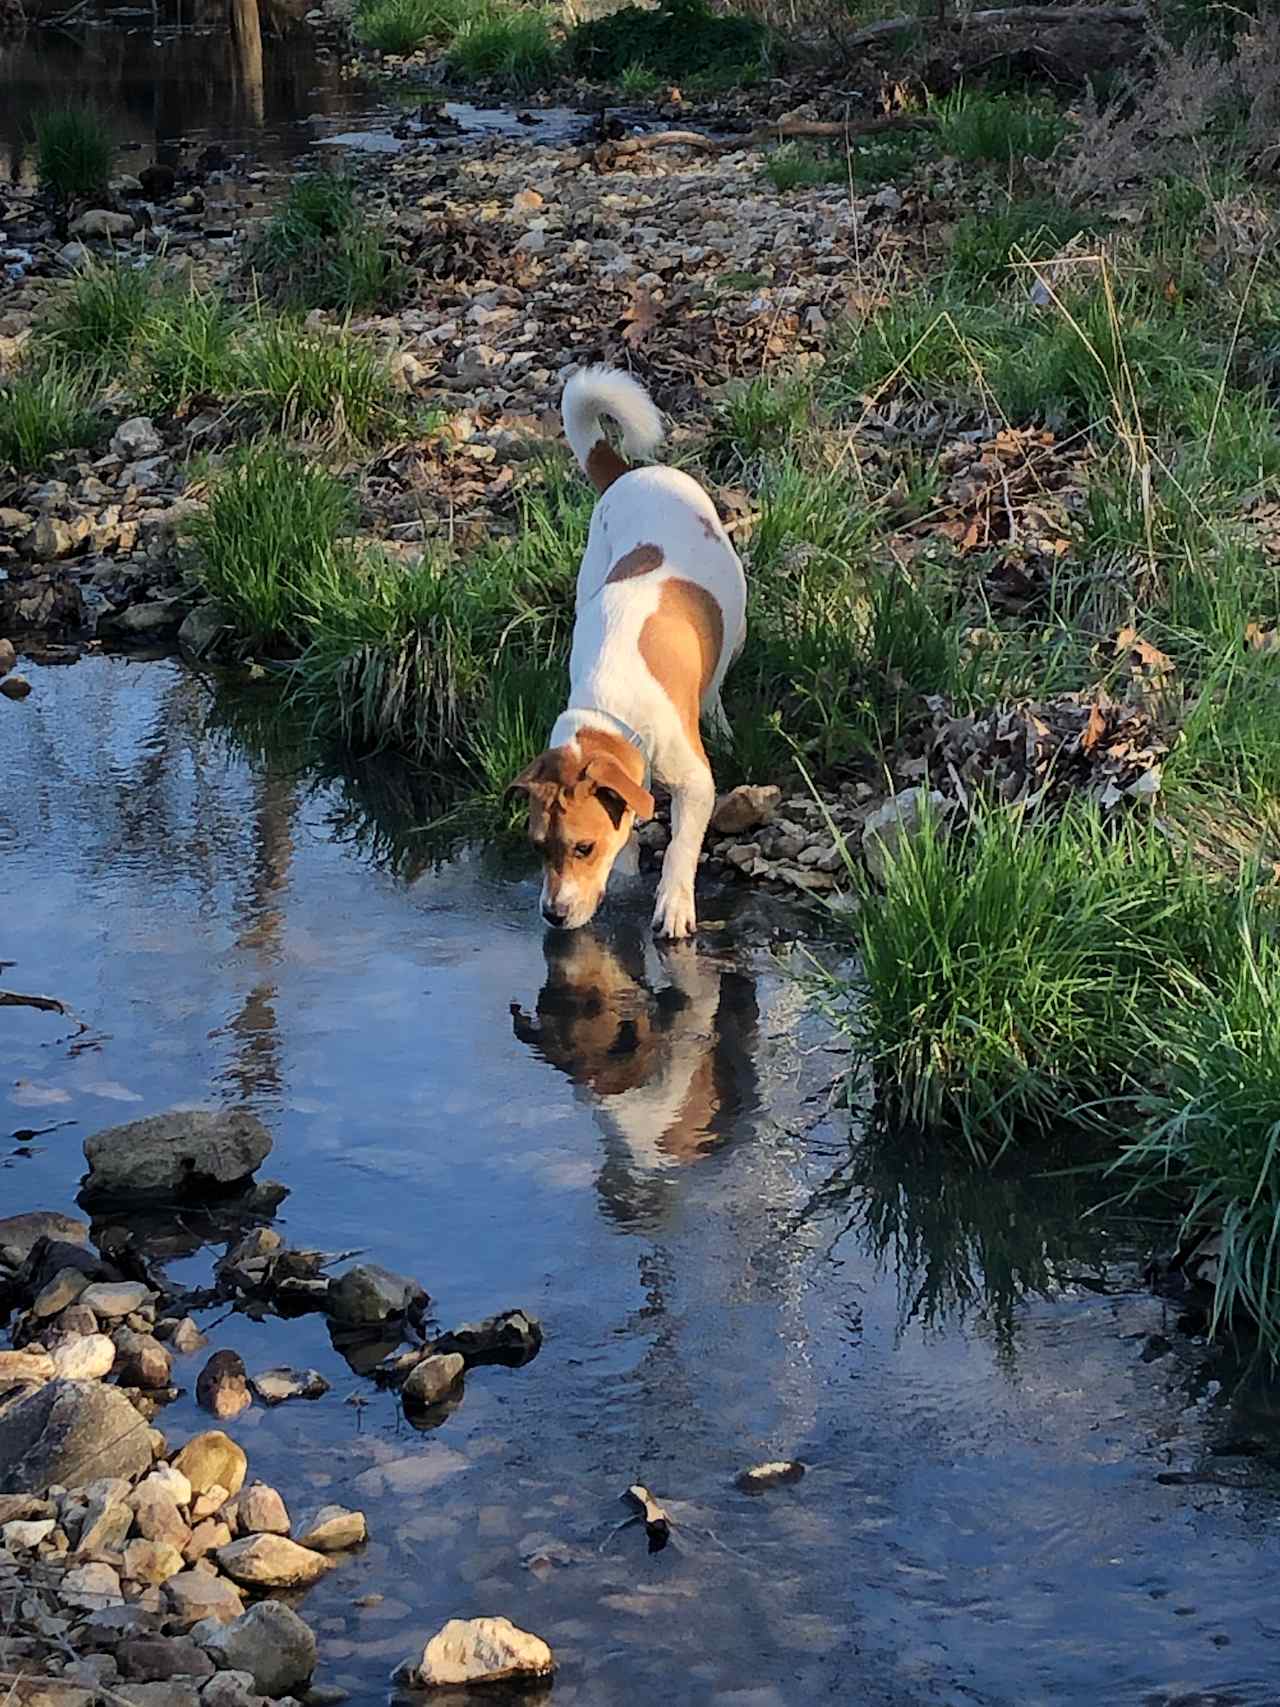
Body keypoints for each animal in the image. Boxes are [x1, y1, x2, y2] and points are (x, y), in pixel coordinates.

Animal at [512, 365, 747, 942]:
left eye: (583, 847)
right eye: (537, 847)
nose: (552, 914)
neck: (609, 706)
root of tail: (628, 473)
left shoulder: (696, 783)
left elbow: (682, 846)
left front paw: (674, 903)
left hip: (737, 618)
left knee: (717, 682)